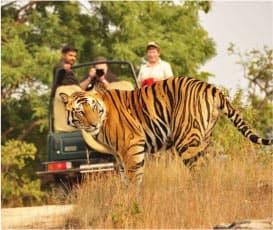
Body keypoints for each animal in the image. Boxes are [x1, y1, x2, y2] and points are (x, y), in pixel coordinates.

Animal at [60, 77, 272, 185]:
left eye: (93, 107)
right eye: (80, 111)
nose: (93, 124)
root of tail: (210, 87)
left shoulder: (131, 146)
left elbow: (133, 177)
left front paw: (133, 202)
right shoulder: (118, 154)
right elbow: (124, 178)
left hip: (186, 140)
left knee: (199, 171)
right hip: (204, 139)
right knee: (208, 168)